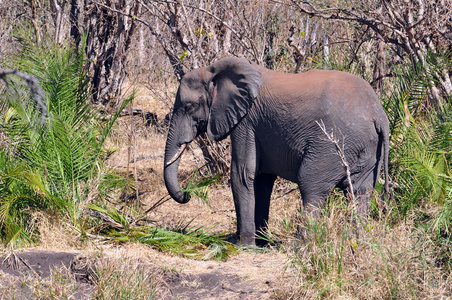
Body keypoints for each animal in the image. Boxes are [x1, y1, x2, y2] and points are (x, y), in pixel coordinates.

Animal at [164, 56, 390, 246]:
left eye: (189, 107)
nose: (186, 195)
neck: (214, 70)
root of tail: (379, 115)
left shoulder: (246, 121)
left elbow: (242, 174)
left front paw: (243, 245)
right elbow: (263, 179)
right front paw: (261, 242)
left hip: (333, 144)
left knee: (312, 188)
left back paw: (299, 246)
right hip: (366, 149)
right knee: (360, 193)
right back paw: (355, 242)